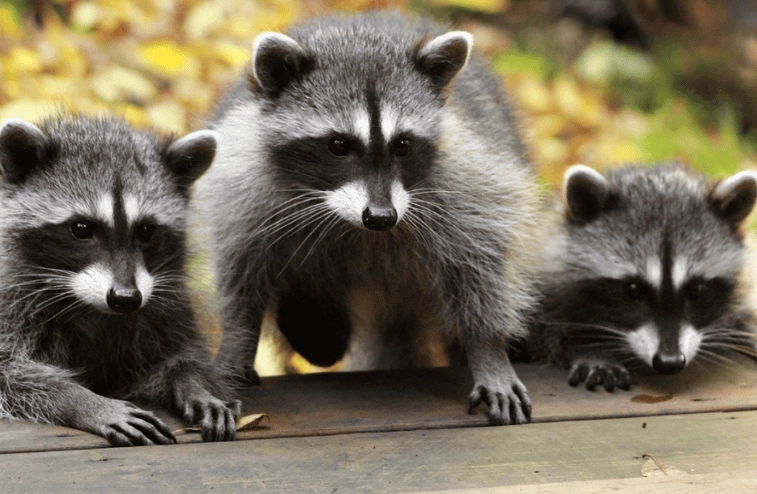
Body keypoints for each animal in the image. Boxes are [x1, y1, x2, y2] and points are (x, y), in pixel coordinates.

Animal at [0, 116, 240, 445]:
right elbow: (10, 372)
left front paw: (195, 385)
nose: (126, 298)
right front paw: (82, 401)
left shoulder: (164, 310)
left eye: (146, 230)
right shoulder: (11, 303)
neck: (90, 306)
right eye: (81, 228)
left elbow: (180, 357)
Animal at [194, 12, 542, 425]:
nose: (381, 217)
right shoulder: (242, 187)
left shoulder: (466, 181)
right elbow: (241, 272)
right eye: (337, 145)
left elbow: (480, 260)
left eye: (403, 145)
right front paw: (238, 340)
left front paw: (488, 348)